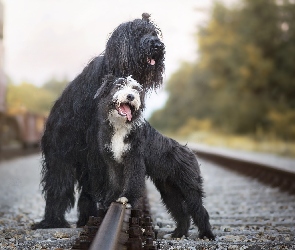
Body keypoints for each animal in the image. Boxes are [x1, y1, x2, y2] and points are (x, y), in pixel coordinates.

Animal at [32, 12, 166, 229]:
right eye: (139, 33)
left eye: (154, 33)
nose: (158, 46)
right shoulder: (97, 143)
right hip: (60, 154)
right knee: (58, 186)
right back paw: (53, 221)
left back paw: (85, 217)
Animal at [88, 75, 215, 239]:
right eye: (119, 86)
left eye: (135, 89)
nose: (130, 96)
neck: (120, 127)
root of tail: (189, 151)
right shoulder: (113, 162)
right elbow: (115, 181)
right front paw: (110, 199)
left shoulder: (135, 160)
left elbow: (133, 180)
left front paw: (127, 198)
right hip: (169, 191)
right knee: (181, 213)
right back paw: (177, 234)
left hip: (189, 186)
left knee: (199, 209)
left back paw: (207, 234)